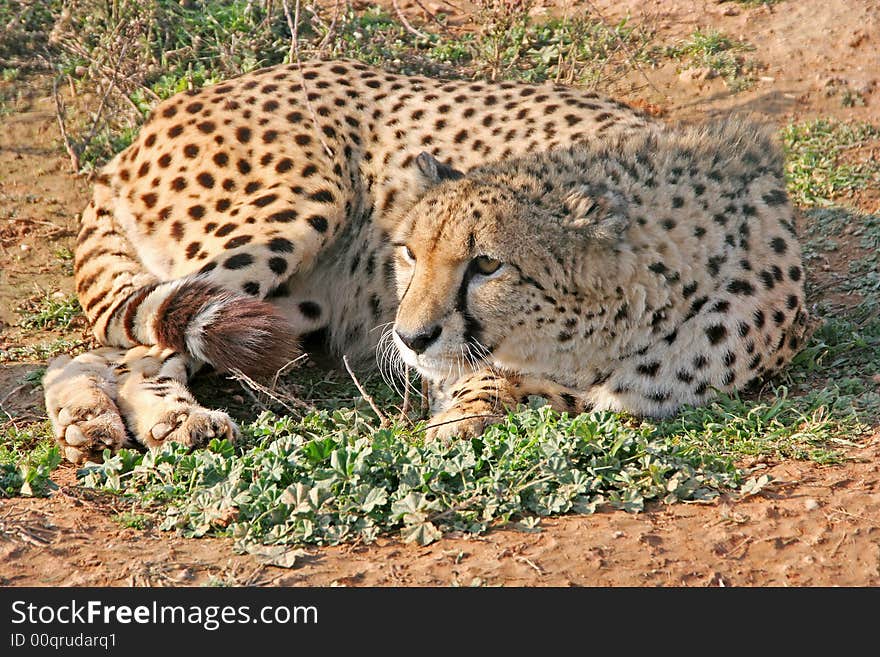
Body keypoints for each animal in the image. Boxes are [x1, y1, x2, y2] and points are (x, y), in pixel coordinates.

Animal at [48, 60, 652, 462]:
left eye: (485, 266)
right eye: (412, 252)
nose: (412, 336)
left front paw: (472, 415)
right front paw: (461, 420)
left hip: (284, 314)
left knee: (99, 351)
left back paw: (88, 420)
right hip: (303, 202)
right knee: (133, 353)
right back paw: (173, 419)